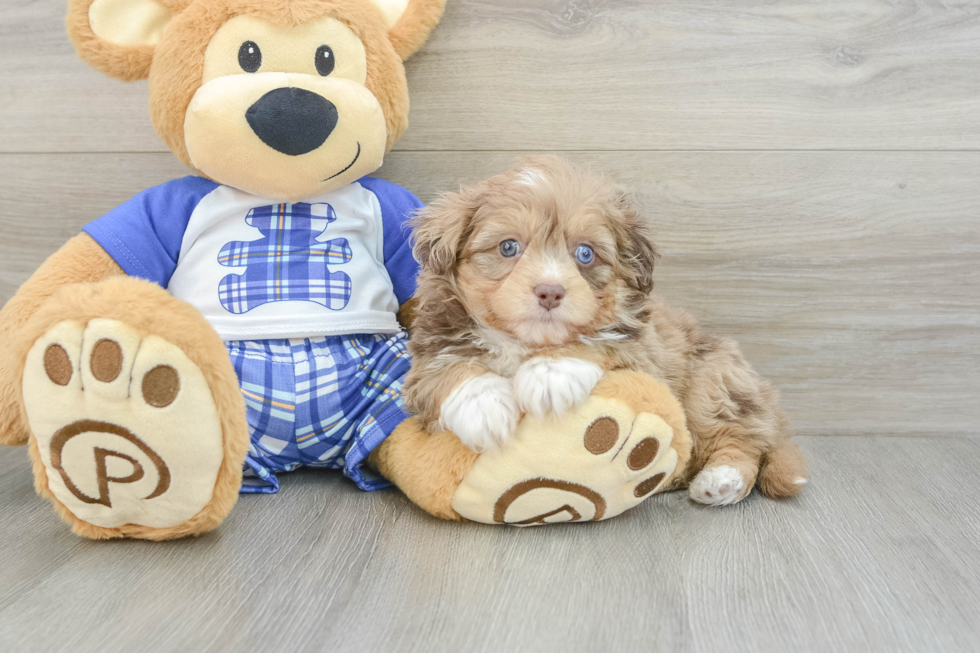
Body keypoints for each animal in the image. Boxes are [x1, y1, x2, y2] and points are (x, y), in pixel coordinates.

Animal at [402, 157, 808, 504]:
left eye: (585, 253)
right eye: (508, 247)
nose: (550, 291)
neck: (527, 343)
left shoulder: (643, 351)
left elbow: (597, 341)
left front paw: (550, 374)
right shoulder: (429, 353)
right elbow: (449, 368)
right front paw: (484, 409)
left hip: (712, 383)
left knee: (743, 438)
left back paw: (722, 480)